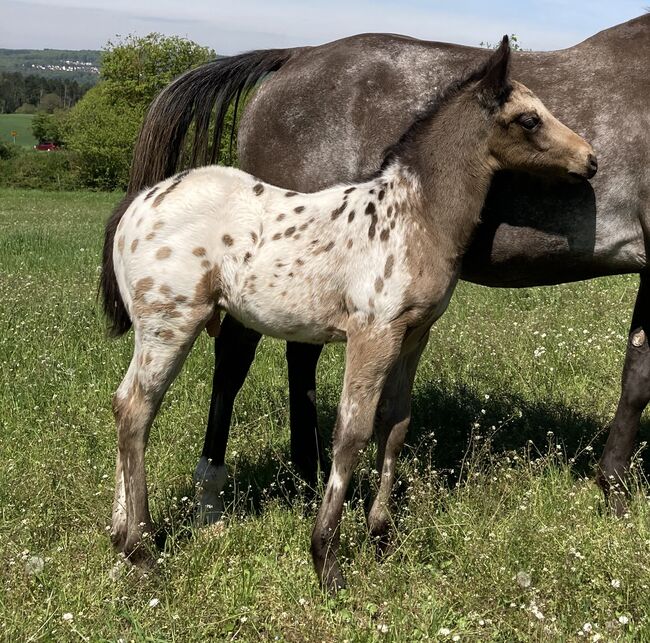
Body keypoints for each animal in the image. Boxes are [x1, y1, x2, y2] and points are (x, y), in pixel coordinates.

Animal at [104, 39, 596, 592]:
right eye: (530, 119)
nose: (590, 159)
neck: (414, 215)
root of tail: (139, 204)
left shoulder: (413, 335)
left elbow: (395, 424)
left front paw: (381, 536)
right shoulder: (373, 334)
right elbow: (351, 434)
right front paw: (326, 559)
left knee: (125, 406)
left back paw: (120, 538)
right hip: (170, 325)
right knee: (137, 411)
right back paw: (142, 550)